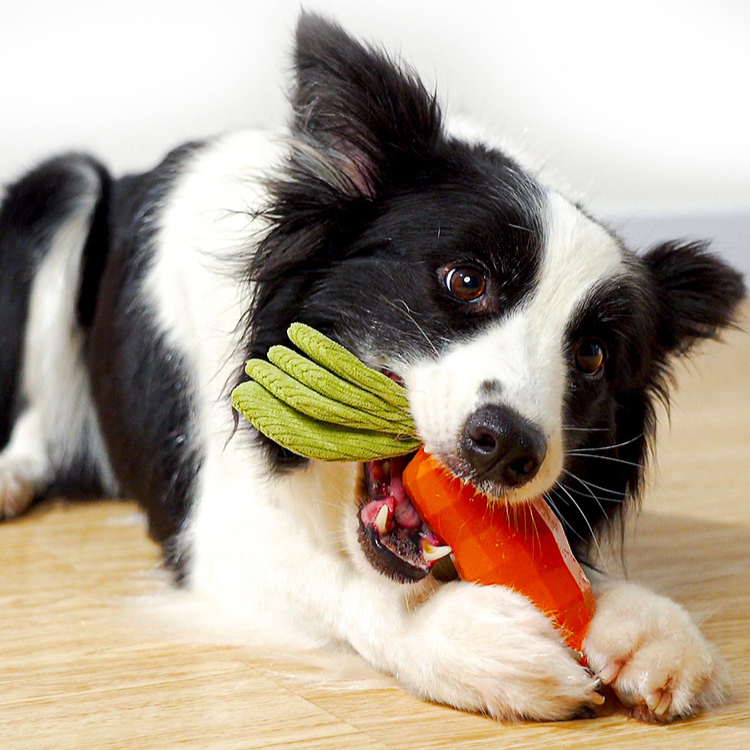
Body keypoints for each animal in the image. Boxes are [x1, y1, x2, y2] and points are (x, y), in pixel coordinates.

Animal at [1, 14, 748, 724]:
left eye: (592, 356)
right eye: (466, 280)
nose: (507, 447)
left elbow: (562, 563)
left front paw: (645, 625)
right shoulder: (208, 528)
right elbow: (343, 583)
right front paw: (468, 638)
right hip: (59, 186)